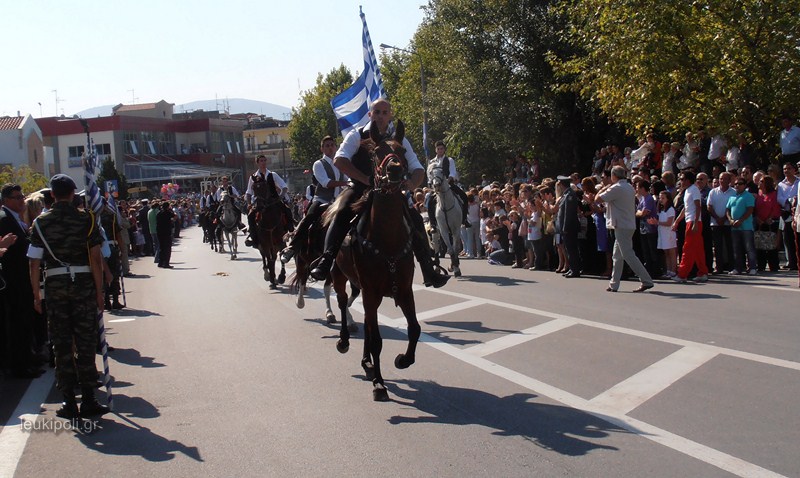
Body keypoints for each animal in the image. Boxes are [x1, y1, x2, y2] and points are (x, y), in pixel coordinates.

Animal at [328, 126, 422, 400]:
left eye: (403, 151)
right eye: (375, 152)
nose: (395, 170)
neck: (387, 237)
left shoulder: (404, 290)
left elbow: (414, 328)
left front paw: (403, 359)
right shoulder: (371, 292)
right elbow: (378, 340)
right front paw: (379, 384)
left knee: (368, 327)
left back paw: (367, 363)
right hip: (340, 277)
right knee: (342, 304)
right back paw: (344, 341)